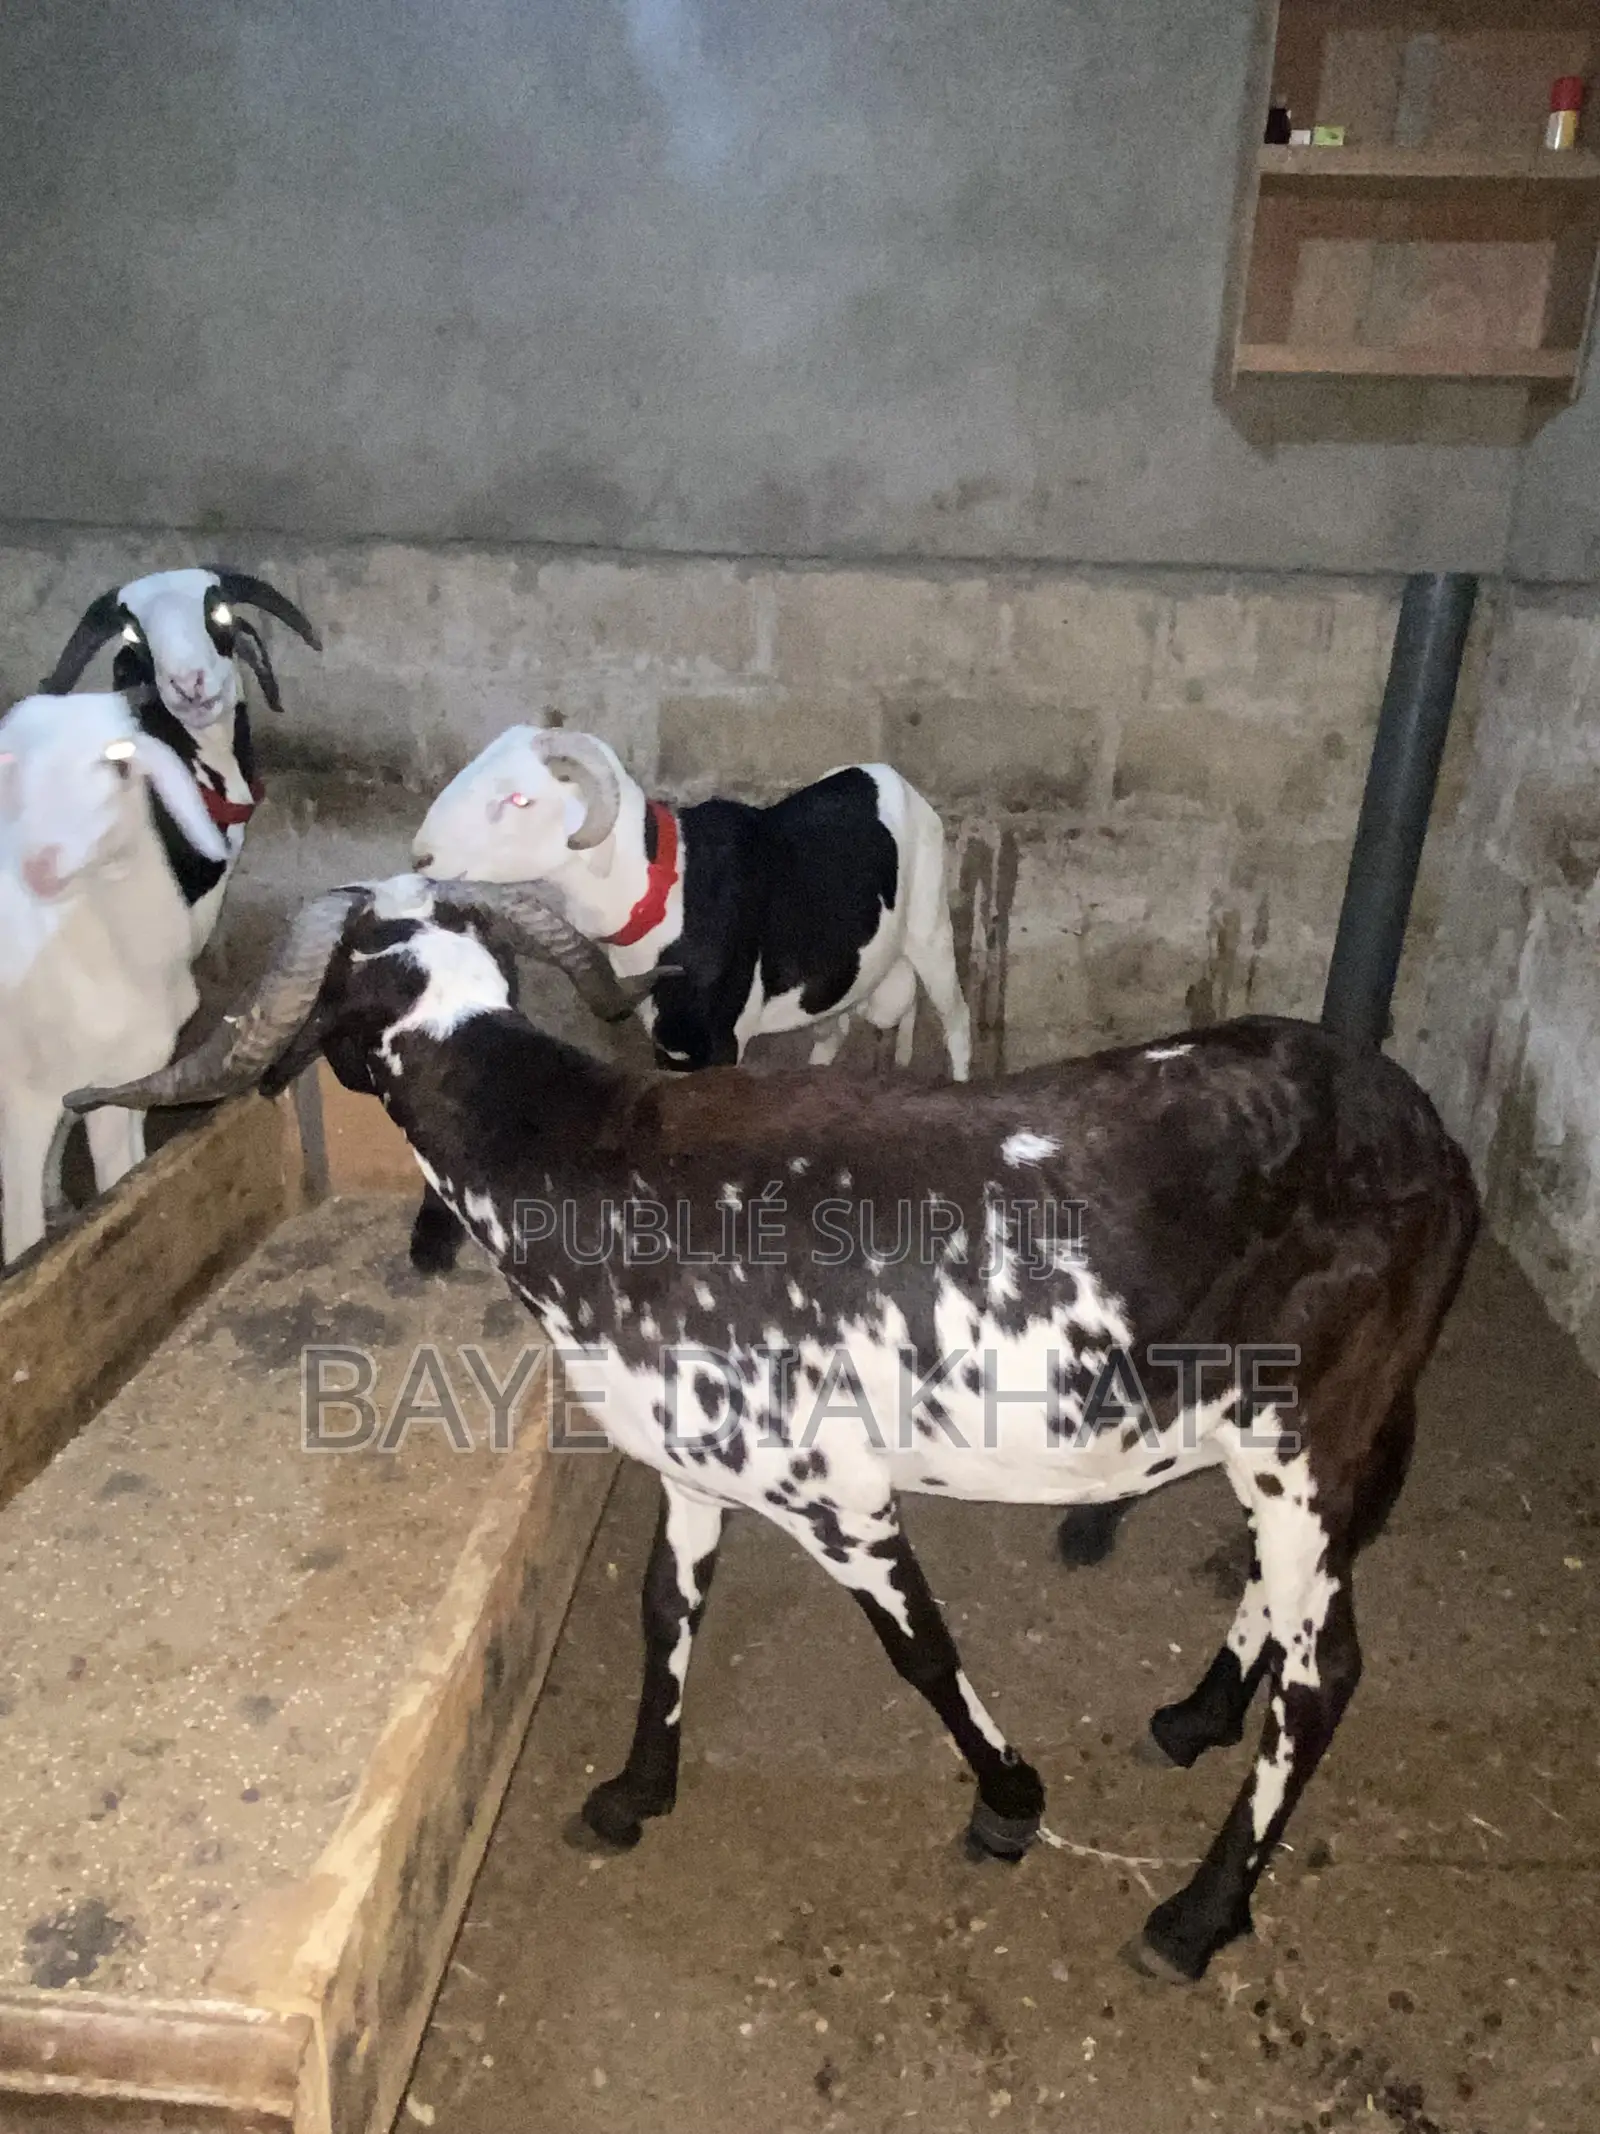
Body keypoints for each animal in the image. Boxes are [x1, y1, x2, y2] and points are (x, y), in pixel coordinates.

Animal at [0, 692, 230, 1266]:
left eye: (120, 765)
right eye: (13, 768)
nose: (39, 866)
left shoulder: (122, 1080)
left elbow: (127, 1183)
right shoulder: (23, 1098)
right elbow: (23, 1238)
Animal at [69, 876, 1479, 1982]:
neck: (588, 1169)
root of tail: (1437, 1143)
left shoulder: (828, 1488)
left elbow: (919, 1646)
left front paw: (1008, 1803)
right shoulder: (695, 1465)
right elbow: (661, 1605)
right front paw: (633, 1792)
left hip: (1309, 1425)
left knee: (1328, 1669)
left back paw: (1193, 1916)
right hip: (1290, 1441)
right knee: (1283, 1595)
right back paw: (1193, 1716)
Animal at [407, 725, 971, 1275]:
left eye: (520, 798)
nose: (421, 856)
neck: (664, 895)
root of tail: (885, 774)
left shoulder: (719, 1039)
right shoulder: (668, 1036)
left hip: (930, 928)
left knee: (957, 1018)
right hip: (843, 975)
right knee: (841, 1029)